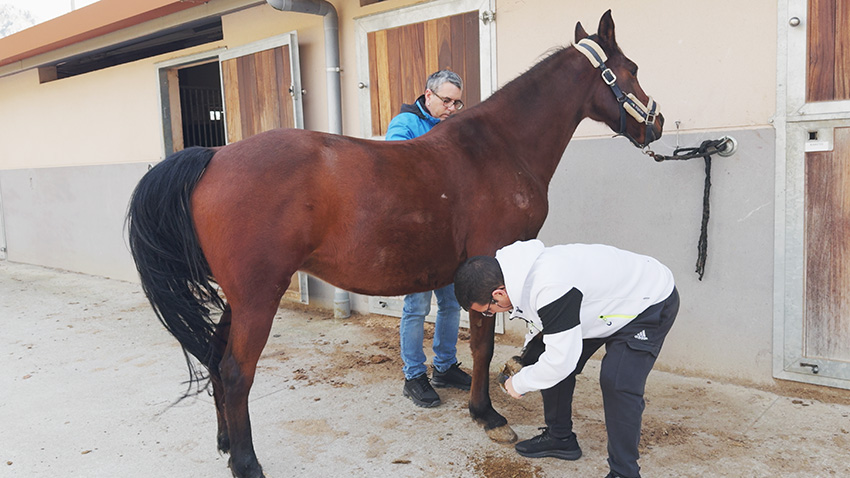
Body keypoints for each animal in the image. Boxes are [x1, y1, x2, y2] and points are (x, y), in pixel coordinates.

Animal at [126, 10, 662, 478]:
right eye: (632, 70)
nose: (655, 124)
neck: (499, 149)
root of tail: (213, 157)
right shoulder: (491, 266)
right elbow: (484, 345)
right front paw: (487, 414)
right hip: (259, 296)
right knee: (237, 371)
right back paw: (246, 463)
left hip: (240, 298)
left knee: (216, 359)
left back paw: (224, 442)